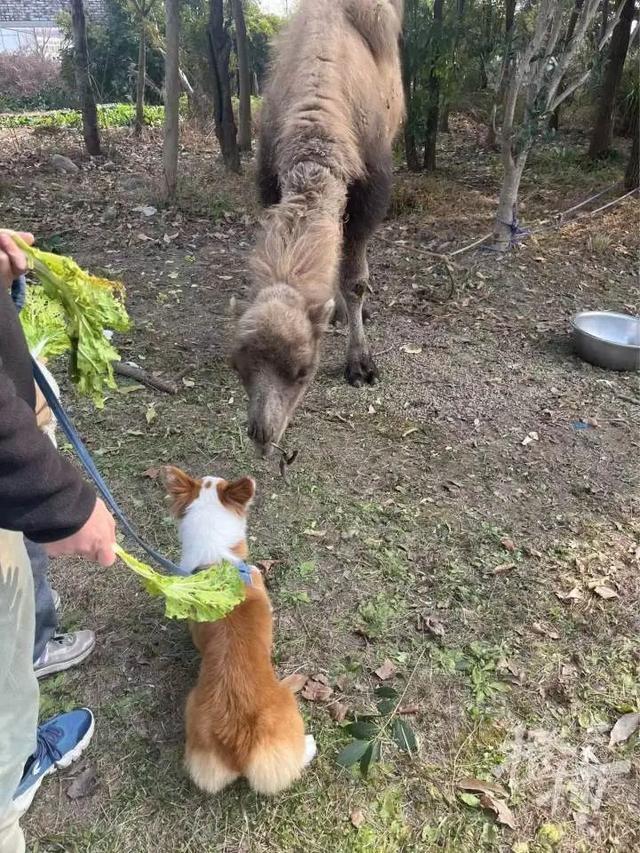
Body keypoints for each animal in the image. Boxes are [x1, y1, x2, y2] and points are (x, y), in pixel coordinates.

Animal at [230, 0, 402, 452]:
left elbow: (356, 281)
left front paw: (360, 364)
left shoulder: (369, 194)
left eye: (304, 370)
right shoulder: (272, 180)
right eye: (238, 366)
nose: (262, 435)